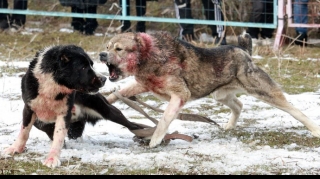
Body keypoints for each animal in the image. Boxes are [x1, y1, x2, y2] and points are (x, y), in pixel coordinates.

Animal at [1, 44, 145, 168]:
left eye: (91, 65)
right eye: (83, 67)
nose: (104, 79)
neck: (53, 87)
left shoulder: (64, 114)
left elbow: (58, 137)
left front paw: (52, 158)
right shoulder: (29, 109)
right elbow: (24, 132)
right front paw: (15, 148)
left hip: (106, 110)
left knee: (133, 125)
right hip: (43, 122)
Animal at [99, 31, 320, 148]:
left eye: (119, 49)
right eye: (108, 47)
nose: (101, 54)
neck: (150, 55)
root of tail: (244, 51)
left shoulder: (180, 95)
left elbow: (163, 120)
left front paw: (154, 141)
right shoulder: (142, 84)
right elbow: (116, 94)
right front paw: (101, 101)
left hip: (263, 91)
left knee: (294, 110)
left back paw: (314, 129)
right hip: (219, 94)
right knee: (239, 104)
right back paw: (229, 126)